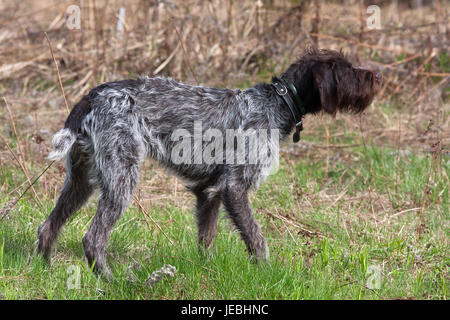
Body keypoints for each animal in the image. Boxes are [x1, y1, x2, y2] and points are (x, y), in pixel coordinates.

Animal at [37, 48, 380, 276]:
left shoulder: (209, 192)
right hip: (121, 178)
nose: (377, 74)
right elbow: (256, 238)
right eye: (347, 70)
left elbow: (206, 239)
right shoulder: (233, 188)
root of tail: (92, 97)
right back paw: (113, 281)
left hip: (81, 181)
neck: (278, 102)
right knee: (93, 239)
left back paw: (45, 267)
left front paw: (208, 270)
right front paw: (265, 272)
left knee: (48, 226)